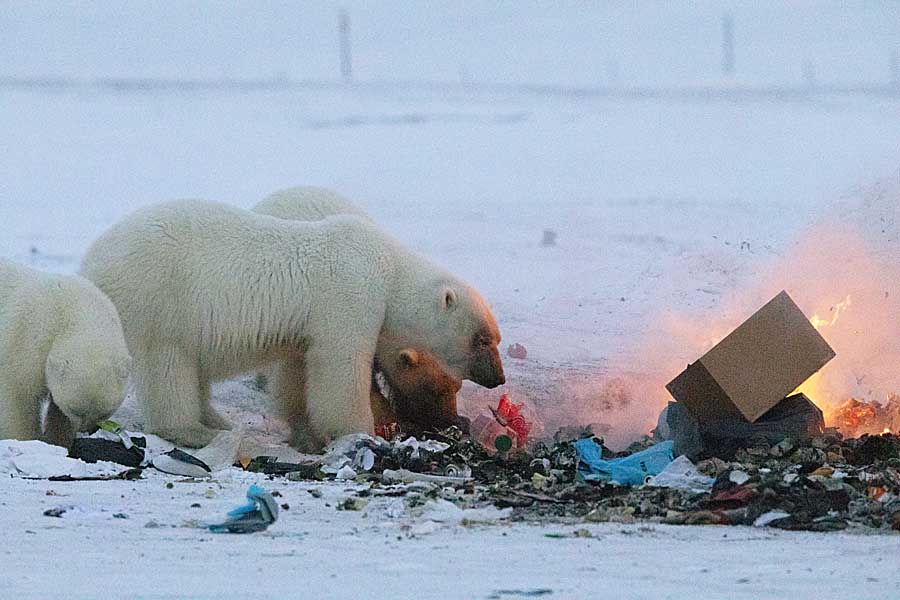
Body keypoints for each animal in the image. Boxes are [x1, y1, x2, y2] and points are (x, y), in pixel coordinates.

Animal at [0, 258, 133, 446]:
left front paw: (59, 441)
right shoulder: (25, 339)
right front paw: (27, 440)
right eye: (75, 410)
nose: (88, 430)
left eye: (105, 412)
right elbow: (18, 396)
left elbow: (58, 411)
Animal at [82, 199, 506, 448]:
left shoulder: (310, 327)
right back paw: (194, 430)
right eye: (483, 339)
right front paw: (364, 431)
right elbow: (339, 366)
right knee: (168, 365)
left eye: (494, 337)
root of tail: (91, 264)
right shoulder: (349, 295)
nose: (498, 378)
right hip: (159, 297)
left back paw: (218, 422)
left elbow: (300, 369)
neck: (390, 269)